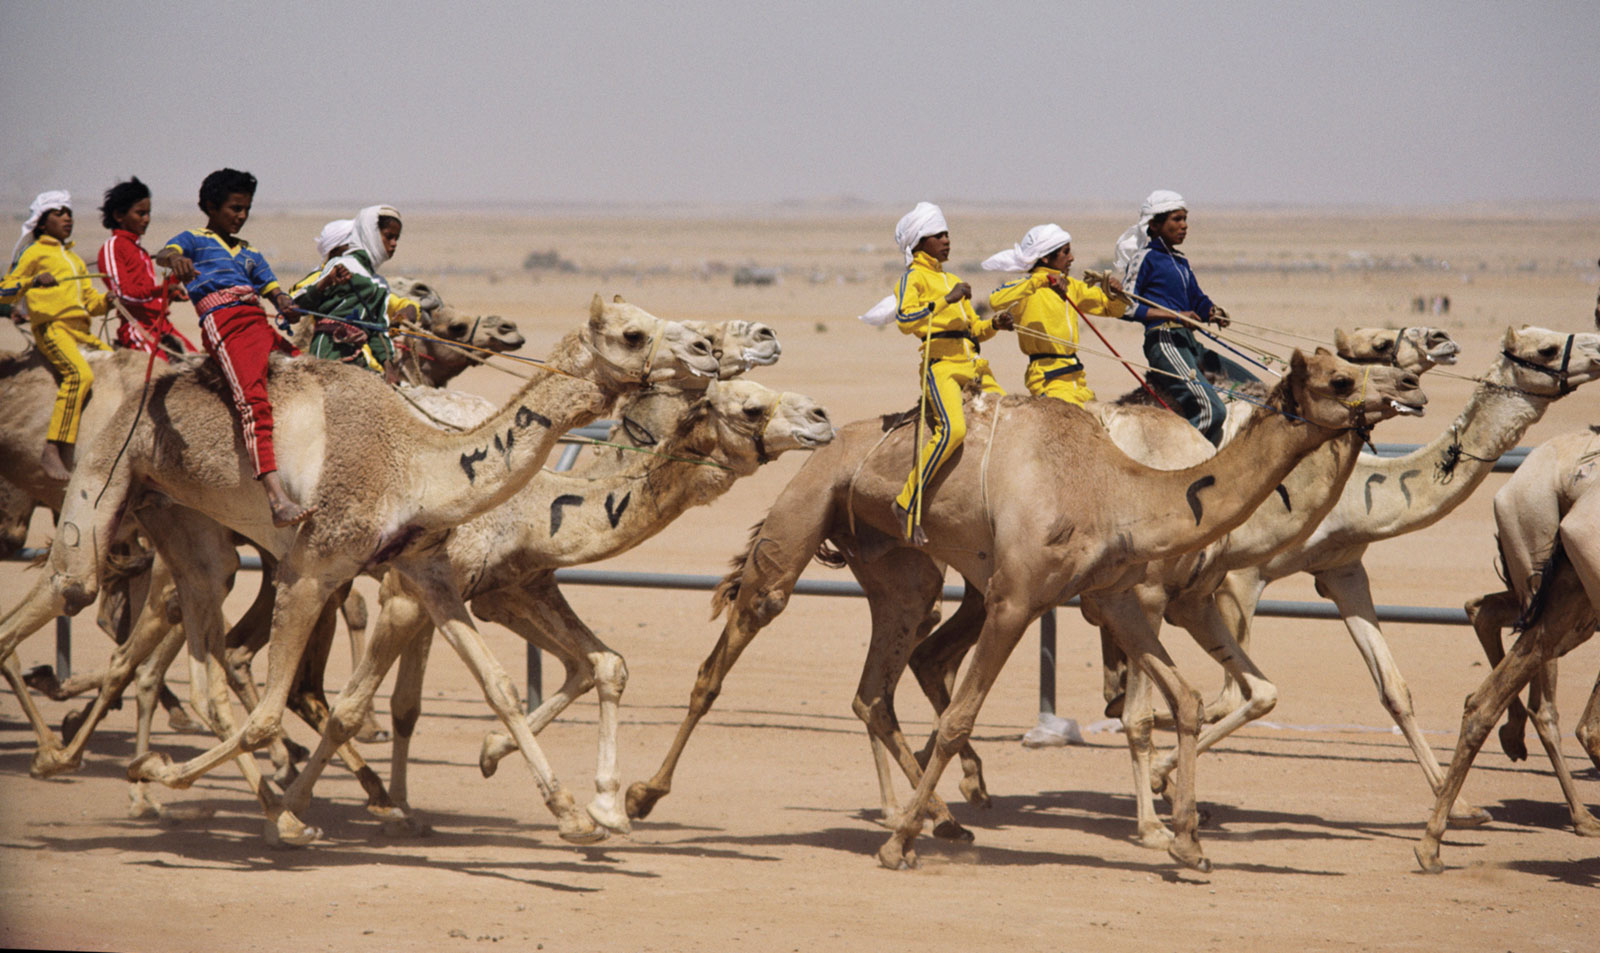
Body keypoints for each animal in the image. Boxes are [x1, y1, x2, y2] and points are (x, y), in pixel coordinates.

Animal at [29, 294, 720, 844]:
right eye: (632, 334)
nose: (708, 349)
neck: (415, 464)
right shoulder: (313, 569)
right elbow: (276, 714)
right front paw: (260, 806)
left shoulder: (427, 573)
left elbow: (496, 685)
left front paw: (574, 814)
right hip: (110, 468)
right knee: (75, 590)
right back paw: (67, 757)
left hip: (181, 523)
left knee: (185, 631)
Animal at [275, 375, 832, 837]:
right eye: (752, 408)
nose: (822, 416)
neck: (528, 509)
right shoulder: (409, 593)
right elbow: (357, 705)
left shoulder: (509, 589)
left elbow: (601, 664)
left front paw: (596, 801)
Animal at [624, 346, 1427, 869]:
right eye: (1342, 374)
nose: (1408, 392)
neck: (1118, 486)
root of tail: (830, 439)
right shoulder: (1019, 596)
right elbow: (960, 717)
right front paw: (894, 846)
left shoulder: (1117, 596)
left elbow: (1188, 700)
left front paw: (1190, 843)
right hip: (799, 521)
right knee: (726, 655)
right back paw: (642, 797)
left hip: (900, 572)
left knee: (874, 689)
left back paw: (943, 822)